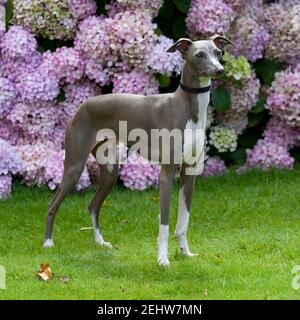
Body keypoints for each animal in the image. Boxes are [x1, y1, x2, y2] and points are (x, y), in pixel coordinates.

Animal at [43, 34, 233, 268]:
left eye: (218, 52)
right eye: (199, 54)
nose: (219, 70)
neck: (188, 108)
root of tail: (83, 105)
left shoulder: (190, 172)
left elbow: (183, 221)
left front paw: (185, 252)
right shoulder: (166, 173)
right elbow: (165, 223)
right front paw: (162, 259)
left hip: (110, 170)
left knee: (93, 205)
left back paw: (100, 242)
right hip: (74, 166)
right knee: (53, 203)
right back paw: (48, 243)